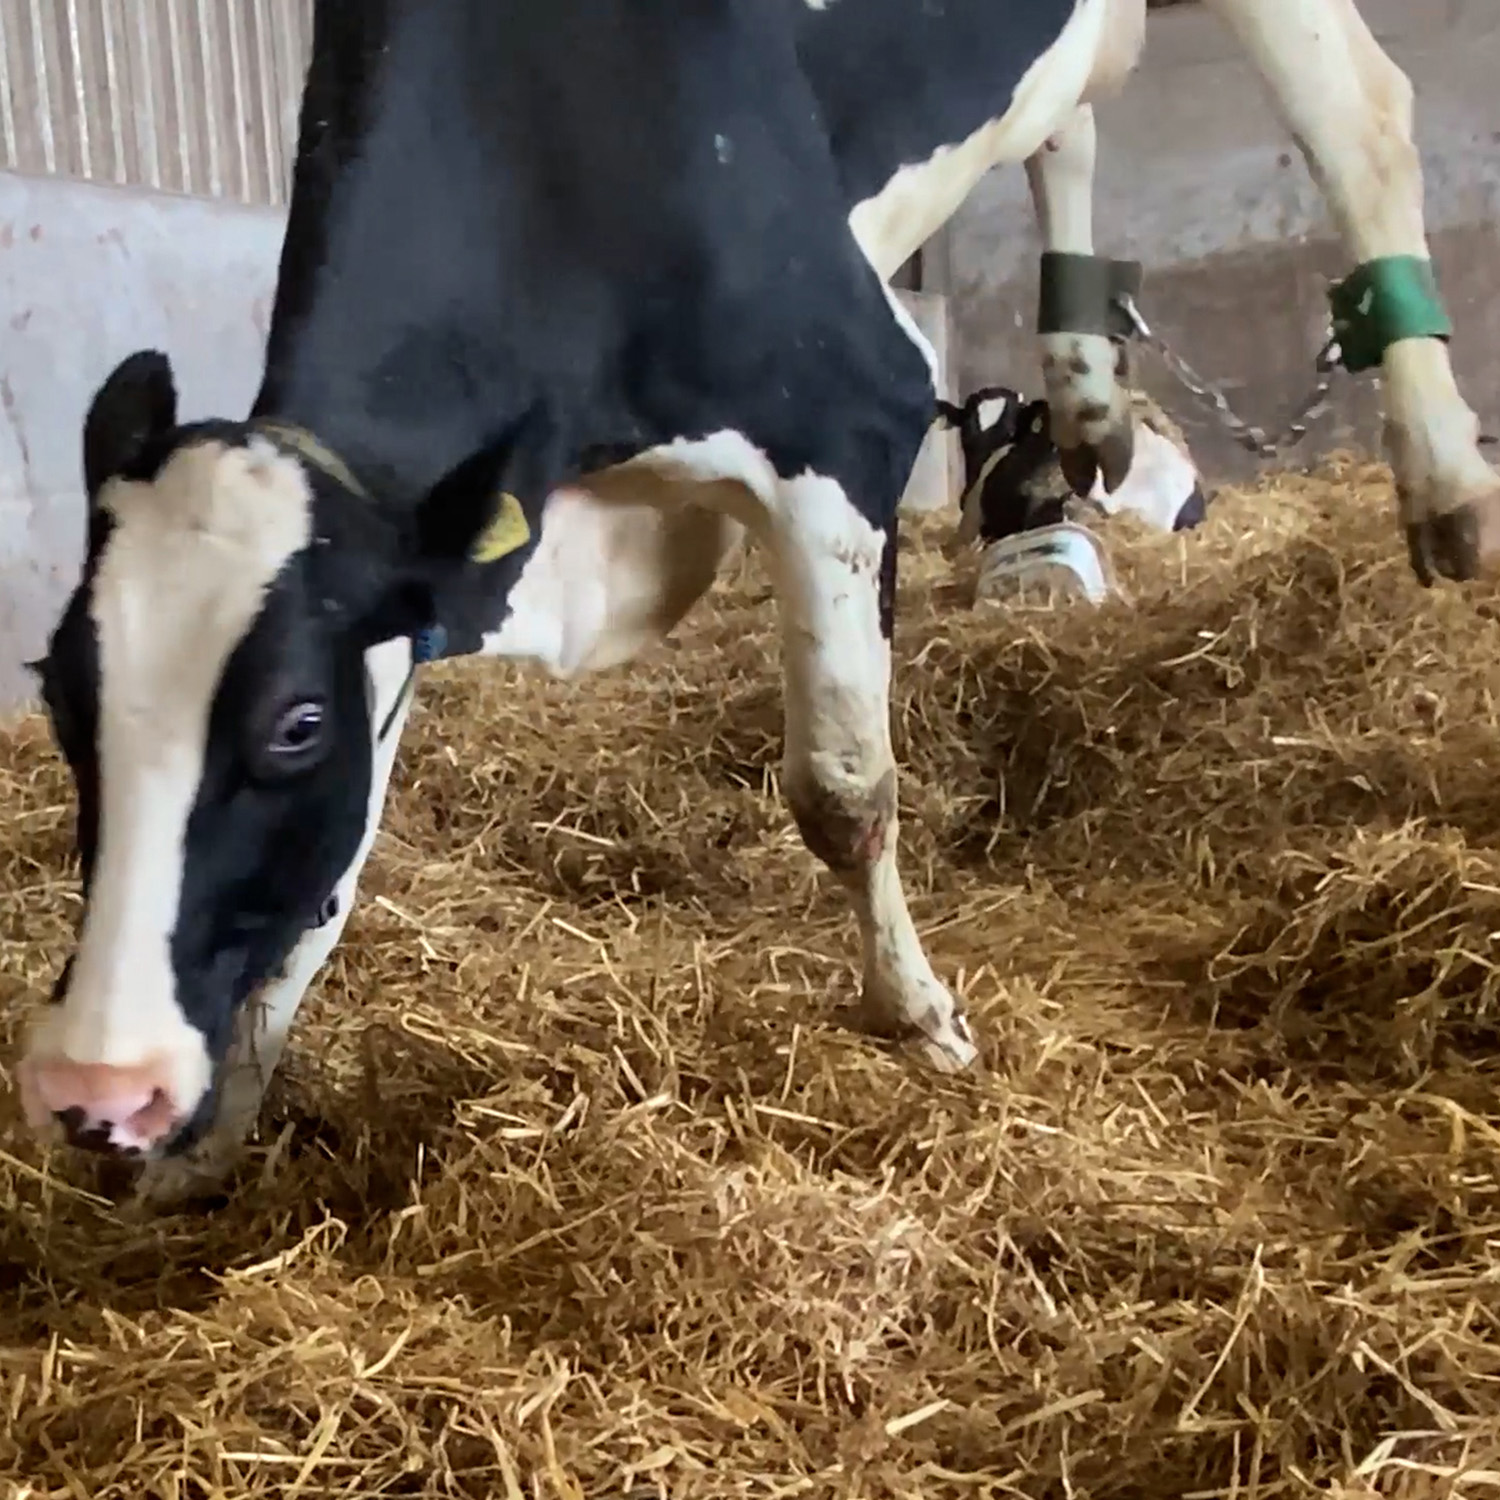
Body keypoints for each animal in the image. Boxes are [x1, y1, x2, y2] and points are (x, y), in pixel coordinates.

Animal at [14, 0, 1500, 1200]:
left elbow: (843, 788)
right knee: (1070, 125)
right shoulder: (432, 563)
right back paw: (1086, 399)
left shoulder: (844, 410)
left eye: (294, 724)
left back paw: (1445, 486)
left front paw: (921, 1018)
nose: (94, 1087)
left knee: (1361, 111)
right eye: (60, 698)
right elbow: (330, 884)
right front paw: (216, 1128)